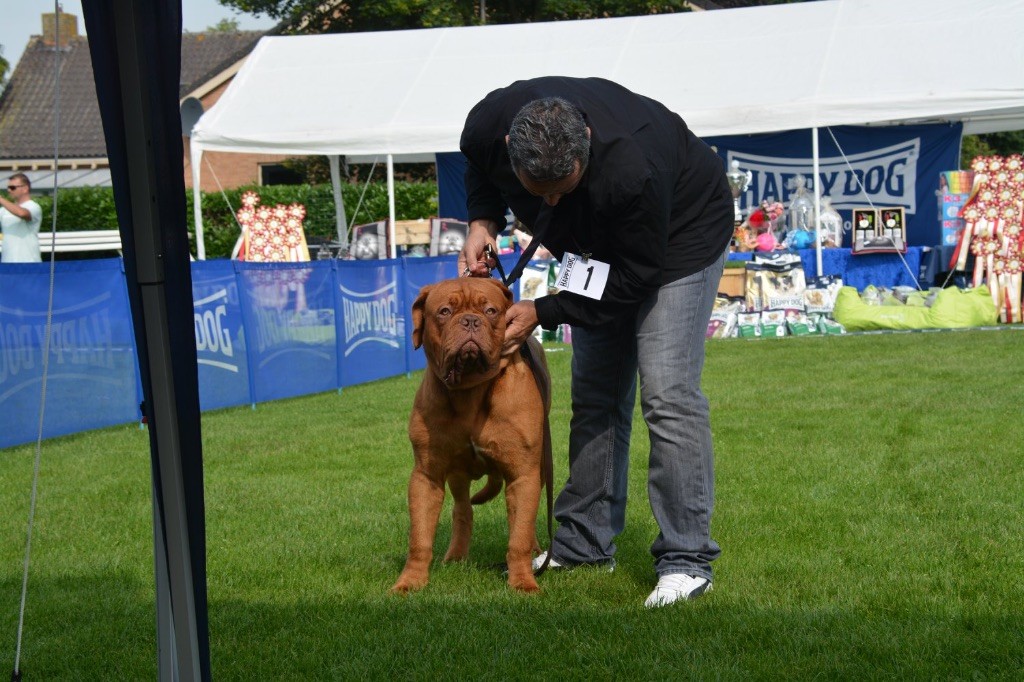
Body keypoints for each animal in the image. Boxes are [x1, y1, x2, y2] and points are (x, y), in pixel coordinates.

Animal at [391, 274, 552, 589]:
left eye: (490, 311)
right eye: (444, 311)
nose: (470, 321)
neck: (470, 392)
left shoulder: (523, 474)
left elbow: (519, 535)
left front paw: (524, 583)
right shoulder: (426, 474)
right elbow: (419, 538)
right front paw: (409, 582)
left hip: (540, 467)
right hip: (457, 473)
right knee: (463, 508)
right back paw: (455, 555)